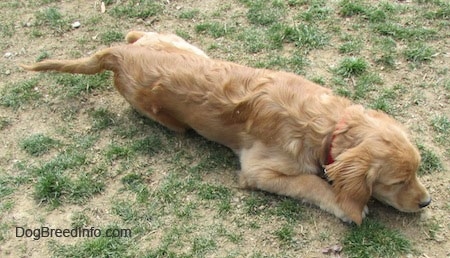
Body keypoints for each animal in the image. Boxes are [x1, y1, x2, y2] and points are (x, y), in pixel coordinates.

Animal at [20, 29, 428, 224]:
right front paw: (348, 207)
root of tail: (117, 56)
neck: (324, 124)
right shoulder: (258, 170)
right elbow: (311, 183)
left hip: (183, 44)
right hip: (163, 114)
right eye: (397, 182)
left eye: (417, 171)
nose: (427, 201)